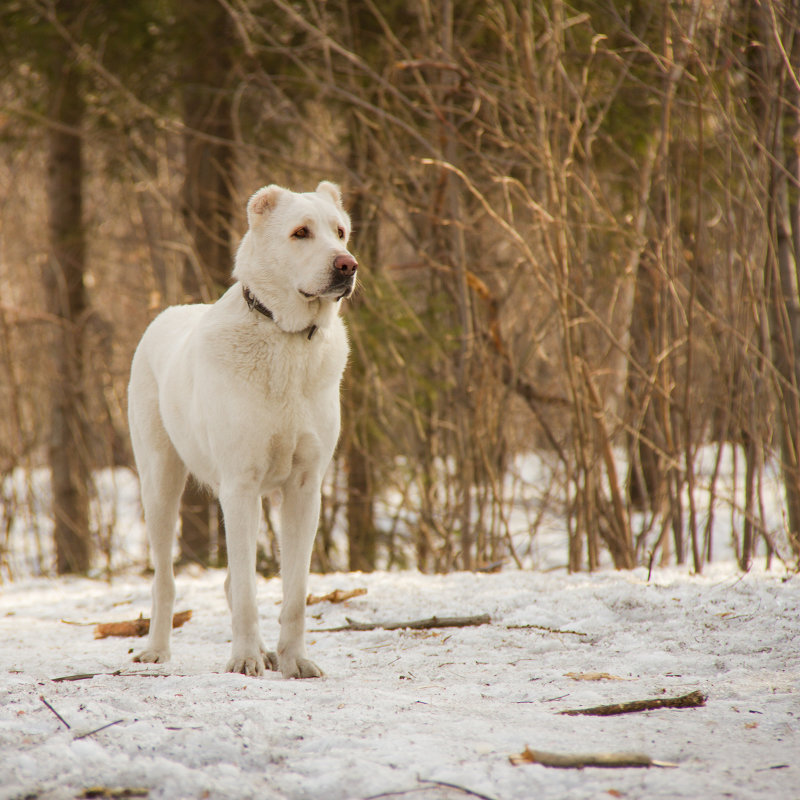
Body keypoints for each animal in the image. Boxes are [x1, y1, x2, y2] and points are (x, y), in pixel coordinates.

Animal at [126, 180, 358, 676]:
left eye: (341, 233)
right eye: (301, 233)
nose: (347, 265)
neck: (287, 340)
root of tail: (166, 313)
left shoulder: (304, 488)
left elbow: (294, 593)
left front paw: (293, 661)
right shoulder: (241, 483)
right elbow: (250, 594)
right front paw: (245, 660)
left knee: (233, 580)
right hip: (161, 484)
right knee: (165, 579)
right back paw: (156, 649)